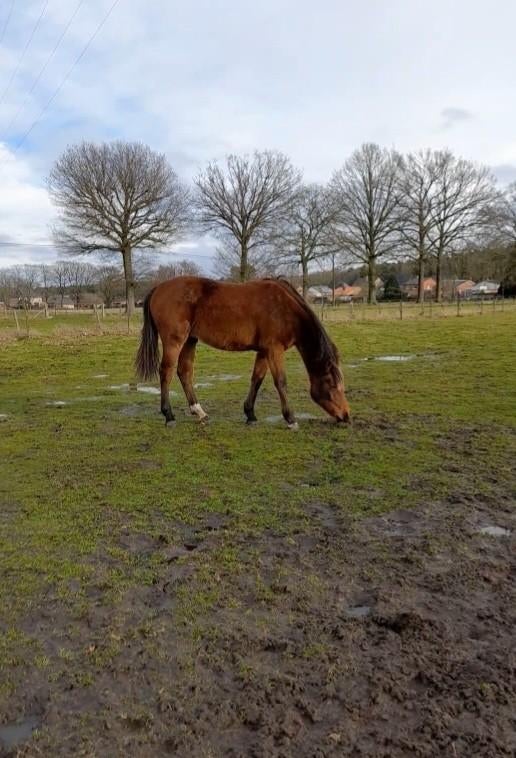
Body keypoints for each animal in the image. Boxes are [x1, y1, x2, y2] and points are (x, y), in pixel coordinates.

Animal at [135, 276, 351, 428]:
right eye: (333, 385)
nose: (346, 416)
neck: (285, 309)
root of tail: (158, 288)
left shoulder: (264, 351)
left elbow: (257, 379)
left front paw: (250, 414)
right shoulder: (274, 350)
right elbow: (280, 382)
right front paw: (291, 419)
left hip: (190, 340)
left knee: (184, 372)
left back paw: (200, 412)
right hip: (174, 341)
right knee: (167, 372)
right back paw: (169, 415)